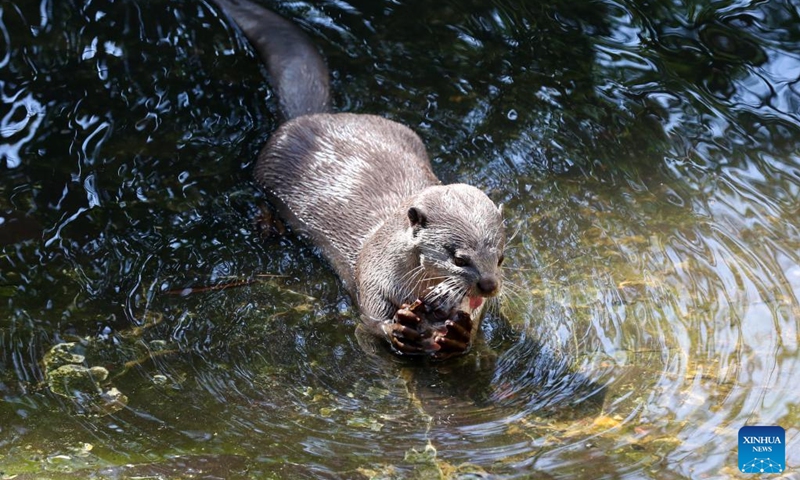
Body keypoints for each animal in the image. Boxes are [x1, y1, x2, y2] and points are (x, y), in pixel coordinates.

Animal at [209, 0, 504, 358]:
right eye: (459, 259)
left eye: (500, 257)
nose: (488, 285)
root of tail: (314, 117)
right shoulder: (373, 279)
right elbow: (371, 319)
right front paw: (399, 329)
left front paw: (459, 335)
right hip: (267, 168)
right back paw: (267, 226)